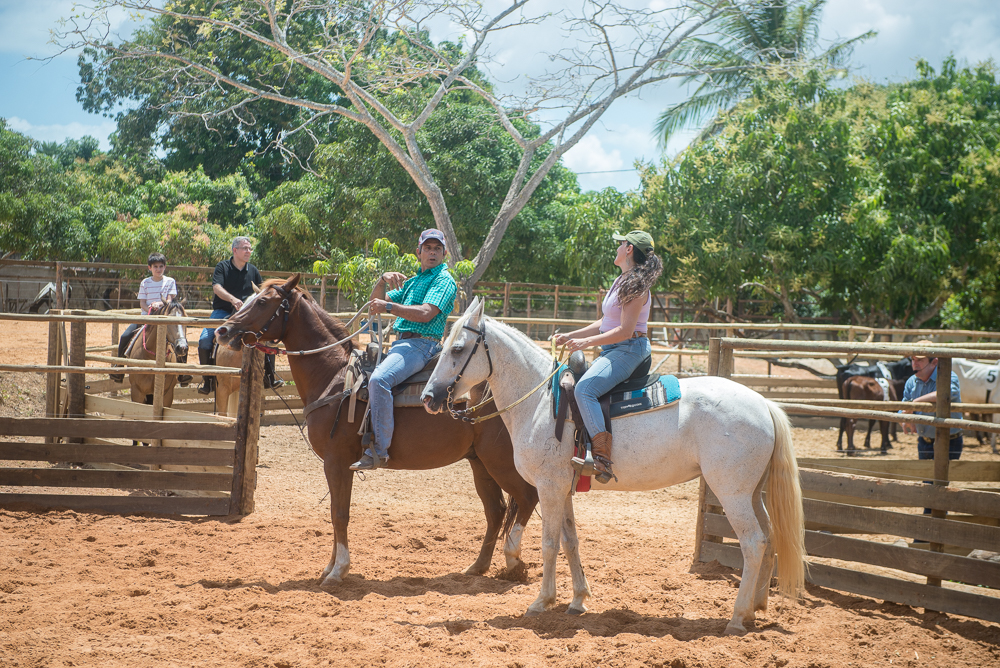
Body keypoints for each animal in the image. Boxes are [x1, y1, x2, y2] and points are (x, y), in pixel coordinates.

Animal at [214, 272, 536, 584]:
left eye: (262, 302)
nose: (223, 331)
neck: (334, 377)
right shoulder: (339, 464)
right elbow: (336, 512)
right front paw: (329, 568)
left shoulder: (337, 461)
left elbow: (339, 514)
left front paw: (338, 571)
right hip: (480, 462)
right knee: (496, 511)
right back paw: (477, 567)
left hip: (500, 461)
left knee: (528, 498)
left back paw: (514, 564)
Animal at [420, 298, 804, 636]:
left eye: (458, 349)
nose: (429, 397)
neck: (541, 401)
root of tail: (764, 403)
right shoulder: (564, 488)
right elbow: (570, 541)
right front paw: (577, 600)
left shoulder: (548, 486)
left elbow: (548, 543)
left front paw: (542, 601)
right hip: (753, 492)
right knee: (770, 537)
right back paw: (755, 610)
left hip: (732, 492)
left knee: (753, 543)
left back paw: (737, 619)